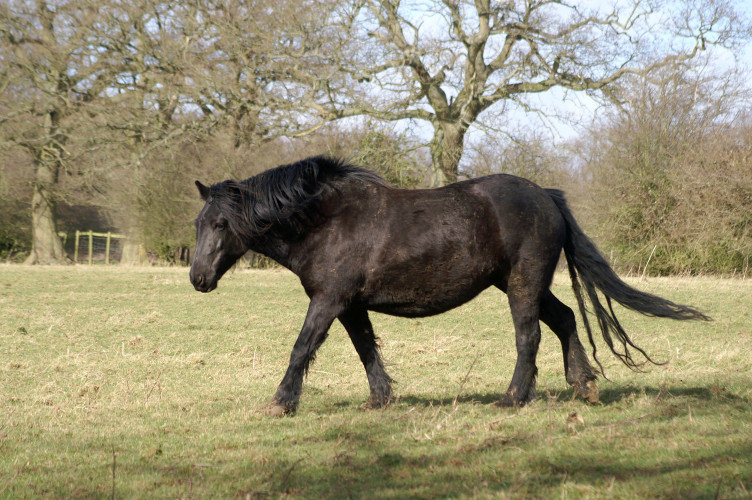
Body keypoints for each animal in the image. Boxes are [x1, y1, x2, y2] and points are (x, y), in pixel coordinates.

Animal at [189, 155, 710, 416]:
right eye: (199, 222)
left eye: (220, 224)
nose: (198, 278)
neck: (327, 220)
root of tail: (547, 196)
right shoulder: (351, 305)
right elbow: (366, 349)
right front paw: (380, 399)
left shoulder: (329, 300)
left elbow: (302, 348)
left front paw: (280, 403)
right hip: (519, 283)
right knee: (563, 320)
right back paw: (584, 386)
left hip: (523, 283)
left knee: (529, 336)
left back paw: (513, 398)